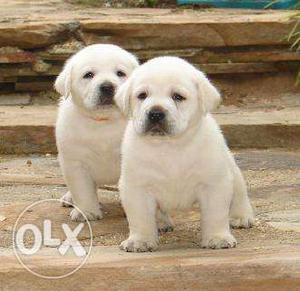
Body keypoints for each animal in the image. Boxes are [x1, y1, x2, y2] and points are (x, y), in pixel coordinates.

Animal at [55, 44, 139, 221]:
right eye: (89, 75)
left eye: (120, 73)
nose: (107, 87)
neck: (104, 122)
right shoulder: (75, 163)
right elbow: (82, 191)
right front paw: (87, 212)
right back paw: (69, 198)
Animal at [114, 56, 253, 252]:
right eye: (142, 95)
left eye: (177, 96)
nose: (155, 113)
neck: (170, 146)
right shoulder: (136, 187)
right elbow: (140, 218)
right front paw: (140, 241)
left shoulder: (213, 184)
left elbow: (216, 214)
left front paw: (217, 238)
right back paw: (161, 222)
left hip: (230, 169)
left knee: (239, 191)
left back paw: (241, 216)